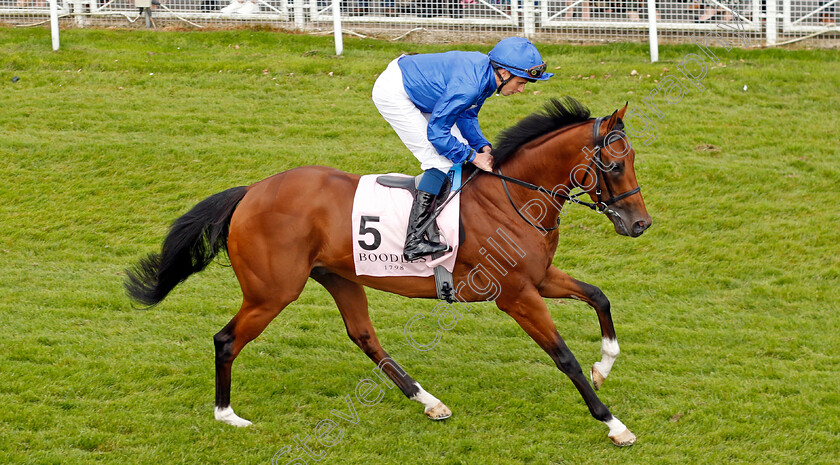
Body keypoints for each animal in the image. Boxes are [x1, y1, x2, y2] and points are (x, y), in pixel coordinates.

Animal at [123, 97, 648, 446]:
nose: (640, 224)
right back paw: (227, 415)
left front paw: (605, 365)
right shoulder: (517, 294)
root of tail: (251, 191)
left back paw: (429, 401)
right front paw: (613, 423)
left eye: (632, 160)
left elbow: (598, 296)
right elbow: (563, 357)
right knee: (226, 339)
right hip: (272, 292)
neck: (513, 196)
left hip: (339, 277)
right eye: (614, 164)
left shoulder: (538, 278)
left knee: (364, 336)